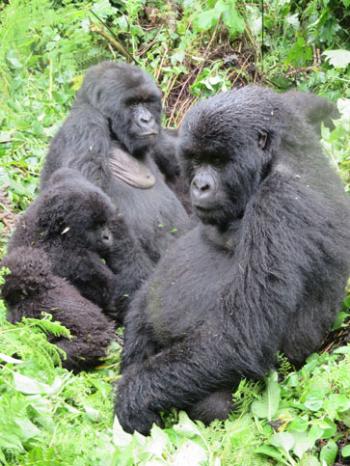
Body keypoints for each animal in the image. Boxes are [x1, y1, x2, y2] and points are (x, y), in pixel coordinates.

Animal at [115, 86, 350, 434]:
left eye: (217, 160)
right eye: (196, 160)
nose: (199, 185)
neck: (278, 156)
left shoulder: (282, 200)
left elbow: (240, 335)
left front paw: (133, 396)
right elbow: (150, 290)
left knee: (215, 400)